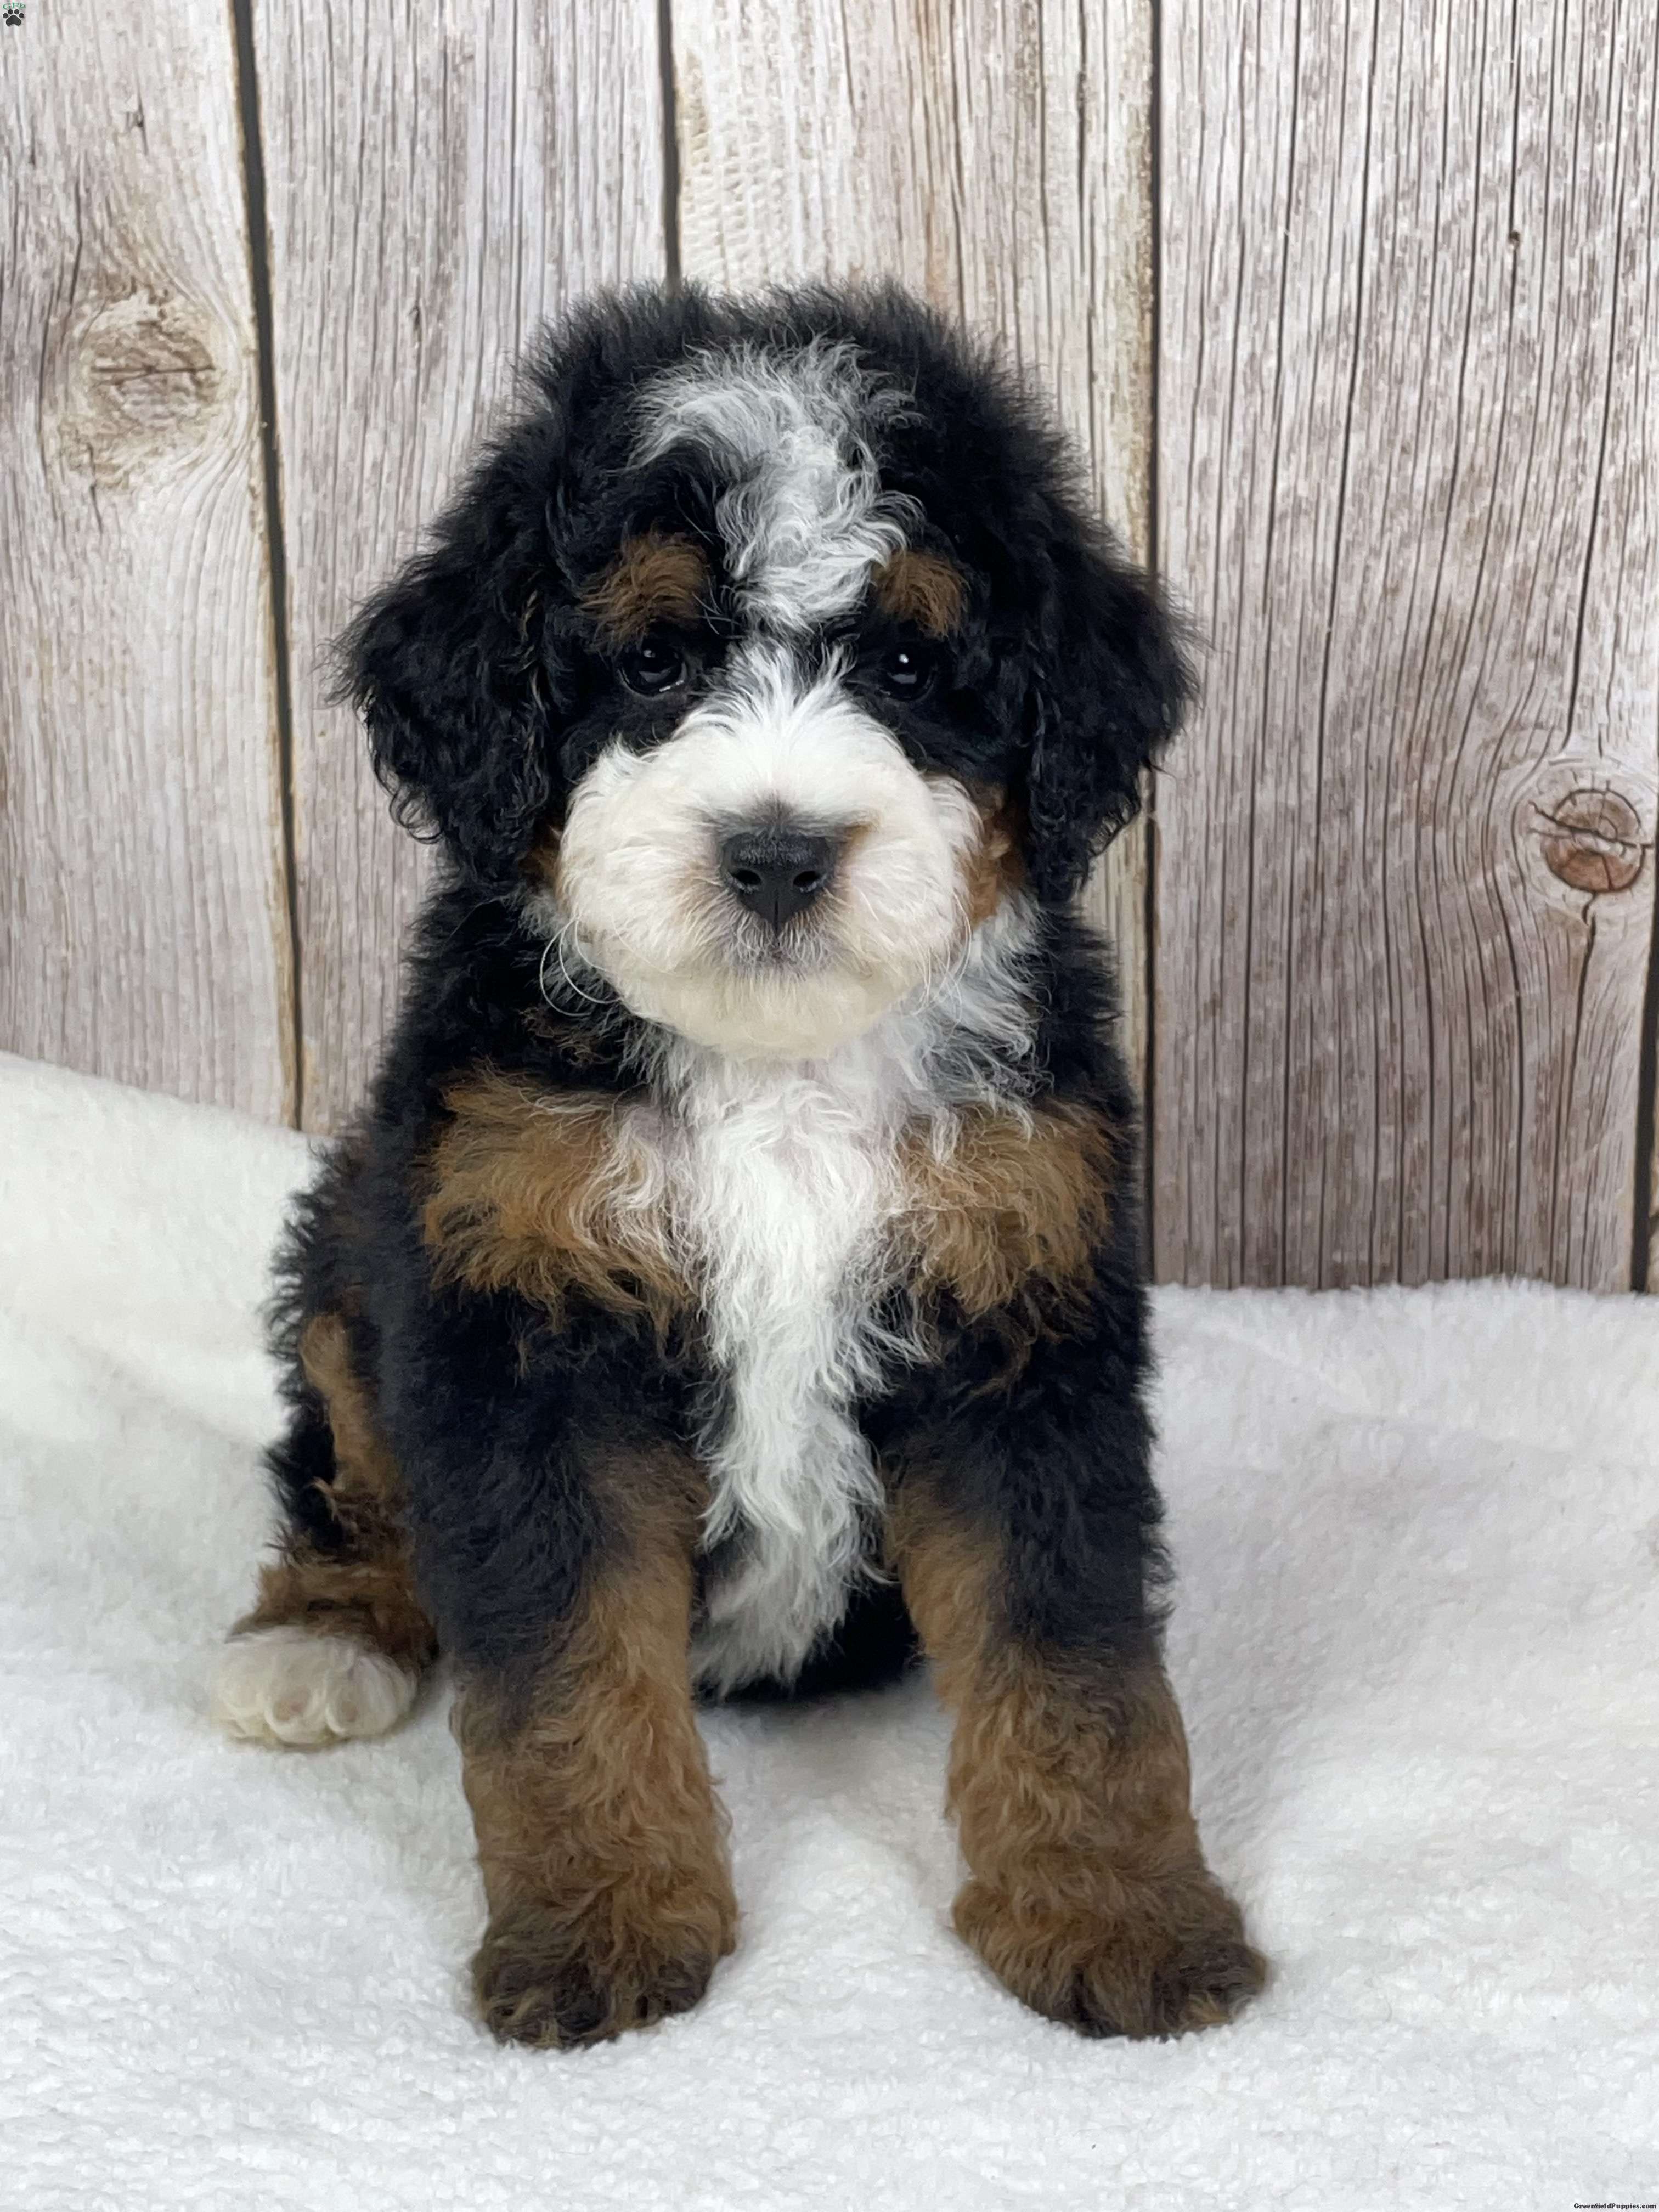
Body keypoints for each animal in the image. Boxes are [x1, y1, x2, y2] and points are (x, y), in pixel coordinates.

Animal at [210, 281, 1266, 2049]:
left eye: (908, 660)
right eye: (651, 659)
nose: (777, 851)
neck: (773, 1071)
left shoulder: (1023, 1303)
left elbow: (1073, 1654)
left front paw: (1117, 1914)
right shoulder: (518, 1305)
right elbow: (563, 1667)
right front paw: (602, 1927)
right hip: (359, 1258)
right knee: (345, 1465)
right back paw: (320, 1640)